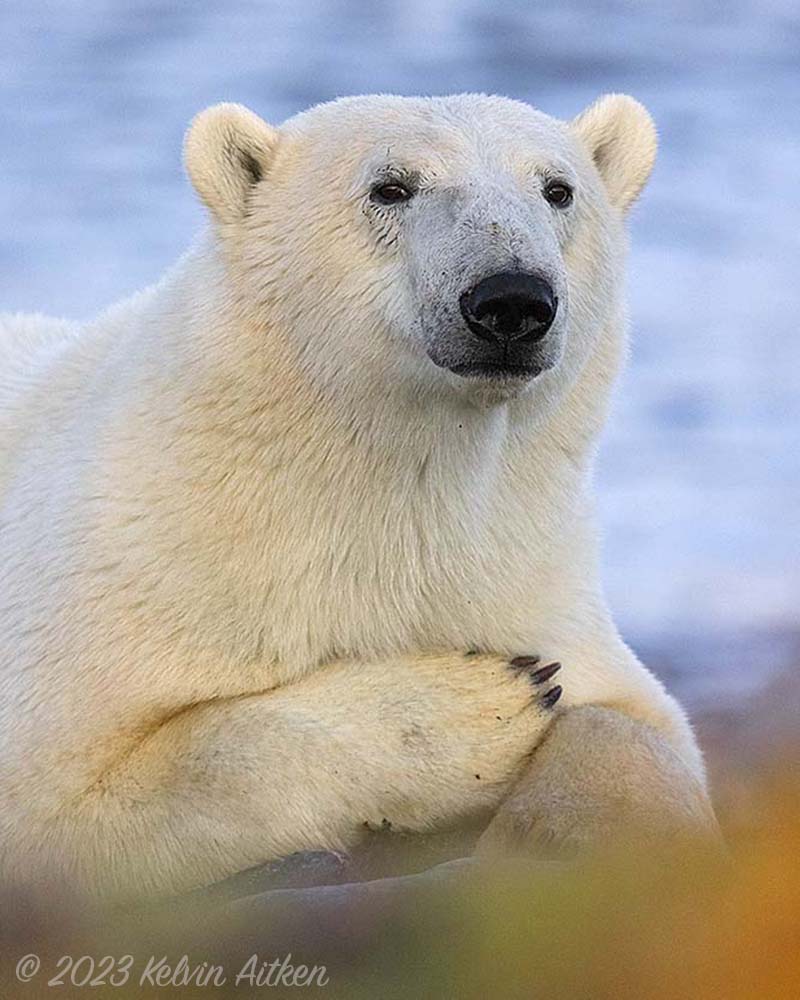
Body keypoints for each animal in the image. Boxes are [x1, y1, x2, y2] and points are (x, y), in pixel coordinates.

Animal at [0, 93, 718, 900]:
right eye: (391, 187)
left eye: (558, 190)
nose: (511, 300)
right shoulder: (129, 573)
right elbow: (74, 803)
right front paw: (484, 705)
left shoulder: (523, 575)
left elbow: (638, 724)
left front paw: (554, 834)